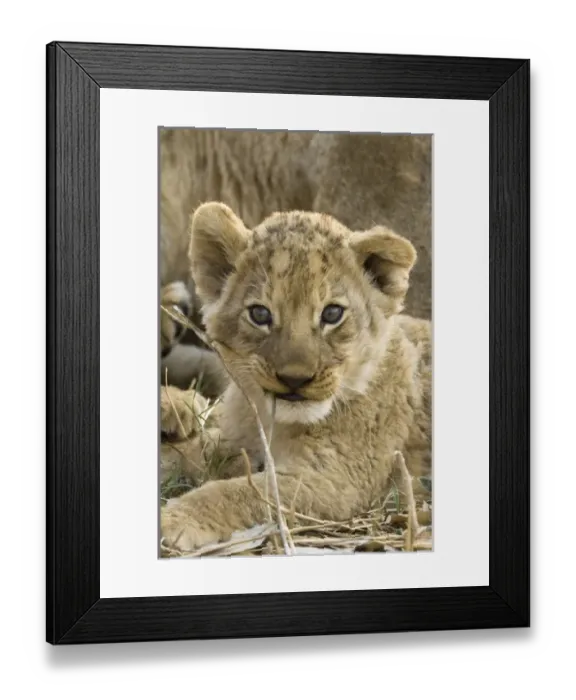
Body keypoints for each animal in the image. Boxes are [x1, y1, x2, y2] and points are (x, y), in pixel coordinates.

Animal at [159, 202, 431, 553]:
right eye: (260, 314)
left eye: (332, 314)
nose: (295, 380)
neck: (274, 420)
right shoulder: (237, 440)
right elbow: (191, 452)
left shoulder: (337, 481)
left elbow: (241, 493)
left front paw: (173, 519)